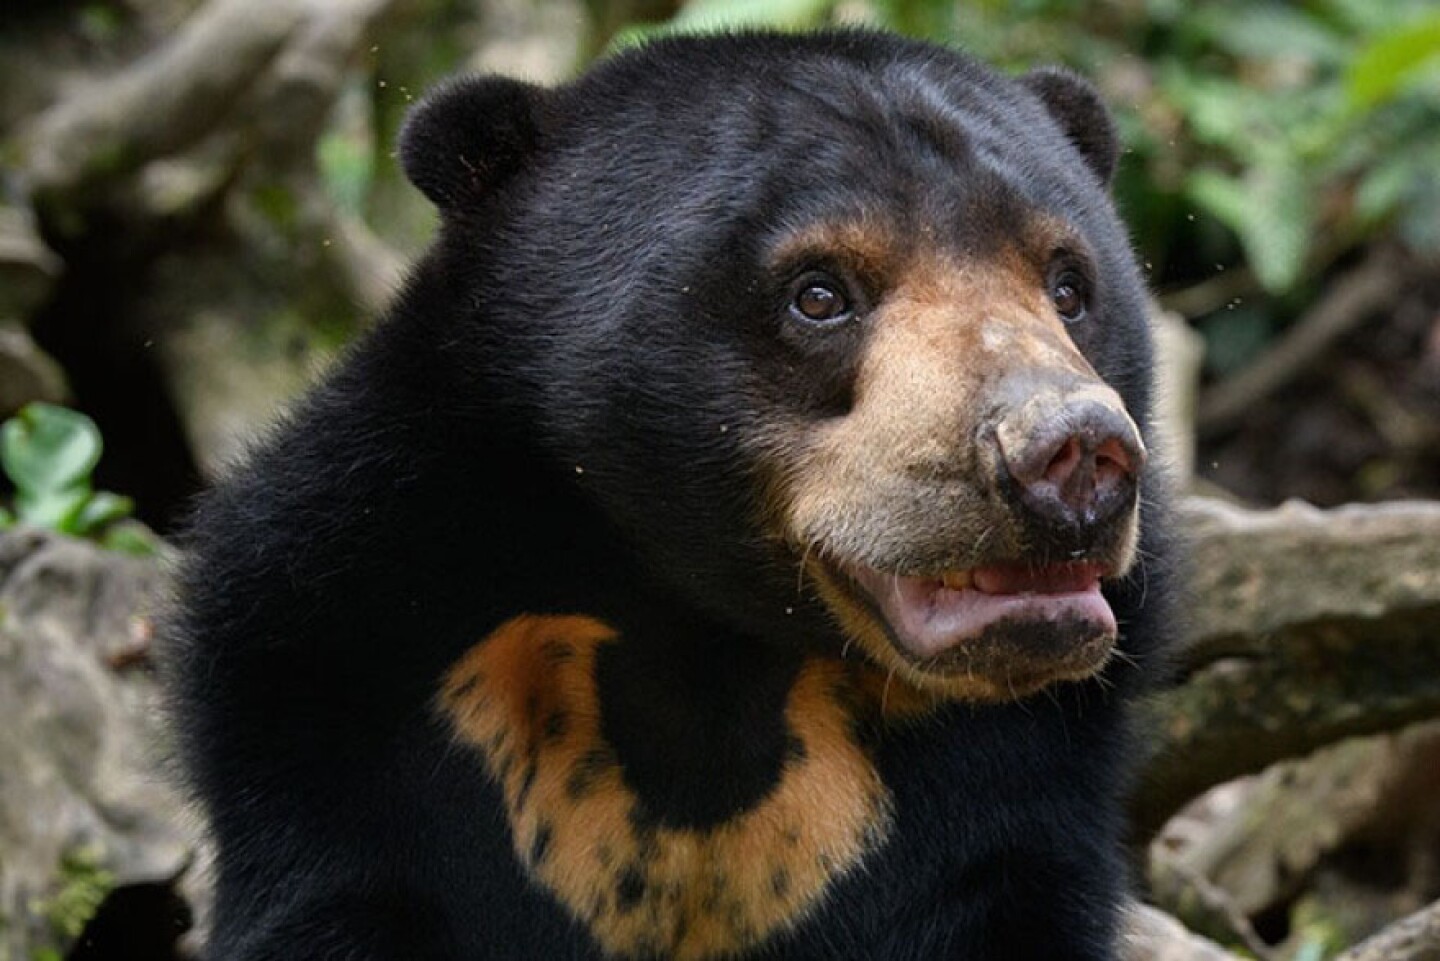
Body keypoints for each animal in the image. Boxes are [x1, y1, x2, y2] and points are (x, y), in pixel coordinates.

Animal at [167, 29, 1175, 961]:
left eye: (1068, 285)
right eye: (819, 294)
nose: (1072, 455)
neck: (709, 641)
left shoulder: (1014, 788)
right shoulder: (343, 678)